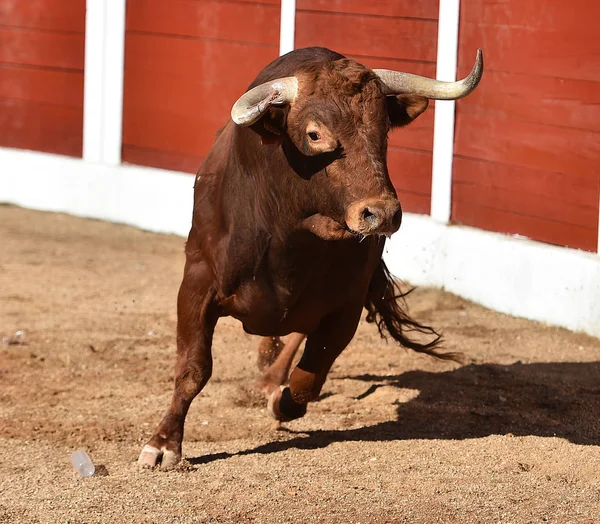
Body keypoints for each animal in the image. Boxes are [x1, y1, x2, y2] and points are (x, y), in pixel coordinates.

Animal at [137, 47, 482, 468]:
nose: (382, 214)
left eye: (384, 130)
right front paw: (163, 444)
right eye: (315, 135)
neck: (289, 230)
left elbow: (308, 380)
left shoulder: (346, 306)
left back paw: (271, 378)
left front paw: (280, 399)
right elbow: (193, 368)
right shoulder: (196, 285)